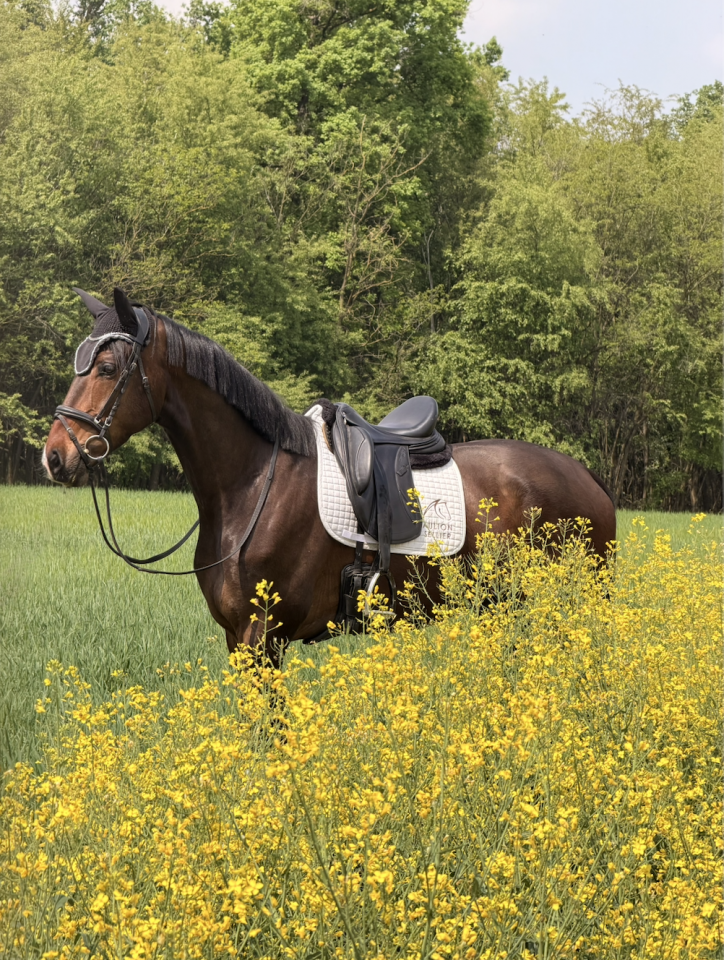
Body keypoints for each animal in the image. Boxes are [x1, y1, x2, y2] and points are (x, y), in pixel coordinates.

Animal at [43, 288, 616, 667]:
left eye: (108, 368)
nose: (56, 456)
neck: (254, 484)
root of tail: (589, 480)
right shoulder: (238, 641)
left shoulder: (262, 637)